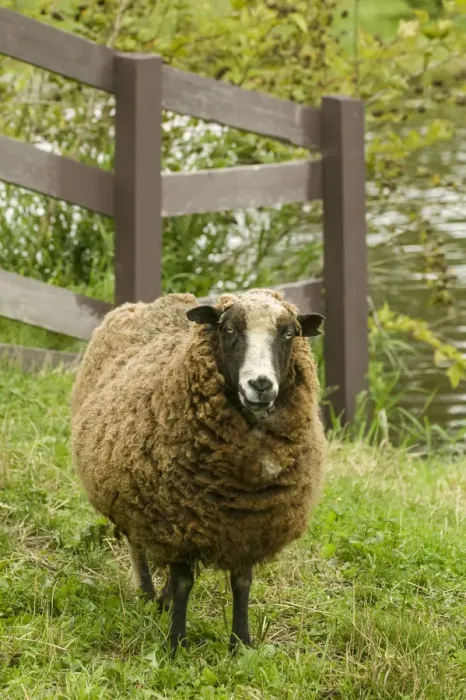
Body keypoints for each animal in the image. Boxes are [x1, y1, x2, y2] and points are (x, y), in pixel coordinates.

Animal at [70, 288, 326, 654]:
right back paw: (147, 594)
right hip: (131, 496)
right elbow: (182, 583)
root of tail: (145, 304)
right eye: (229, 329)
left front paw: (240, 645)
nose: (260, 385)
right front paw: (175, 644)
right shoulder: (175, 517)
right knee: (137, 545)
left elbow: (242, 582)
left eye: (289, 333)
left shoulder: (250, 525)